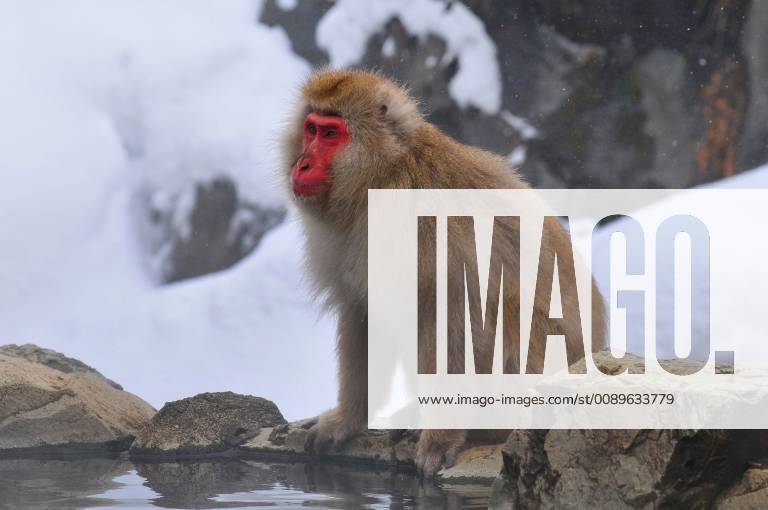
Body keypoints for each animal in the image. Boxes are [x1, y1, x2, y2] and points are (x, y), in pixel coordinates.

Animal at [281, 68, 606, 478]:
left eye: (330, 134)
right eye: (310, 128)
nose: (301, 164)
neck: (382, 173)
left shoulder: (426, 228)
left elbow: (459, 315)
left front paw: (438, 441)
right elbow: (364, 313)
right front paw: (347, 421)